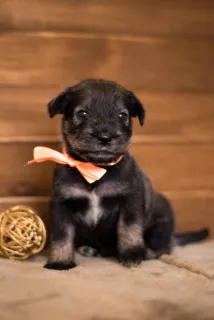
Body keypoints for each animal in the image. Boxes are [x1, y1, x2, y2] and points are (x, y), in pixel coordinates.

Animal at [44, 79, 209, 270]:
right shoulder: (61, 203)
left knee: (161, 249)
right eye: (82, 113)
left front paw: (131, 254)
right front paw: (60, 261)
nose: (105, 137)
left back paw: (144, 252)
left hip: (160, 228)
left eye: (122, 115)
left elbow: (129, 228)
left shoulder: (130, 200)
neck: (96, 168)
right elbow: (61, 235)